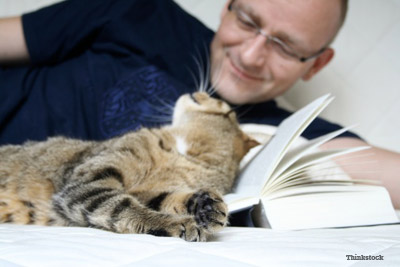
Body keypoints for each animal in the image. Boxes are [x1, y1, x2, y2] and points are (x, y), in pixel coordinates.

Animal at [0, 92, 258, 243]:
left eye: (224, 105)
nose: (198, 91)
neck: (181, 150)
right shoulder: (89, 180)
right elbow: (124, 206)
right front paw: (177, 223)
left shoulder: (149, 192)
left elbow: (165, 198)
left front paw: (207, 205)